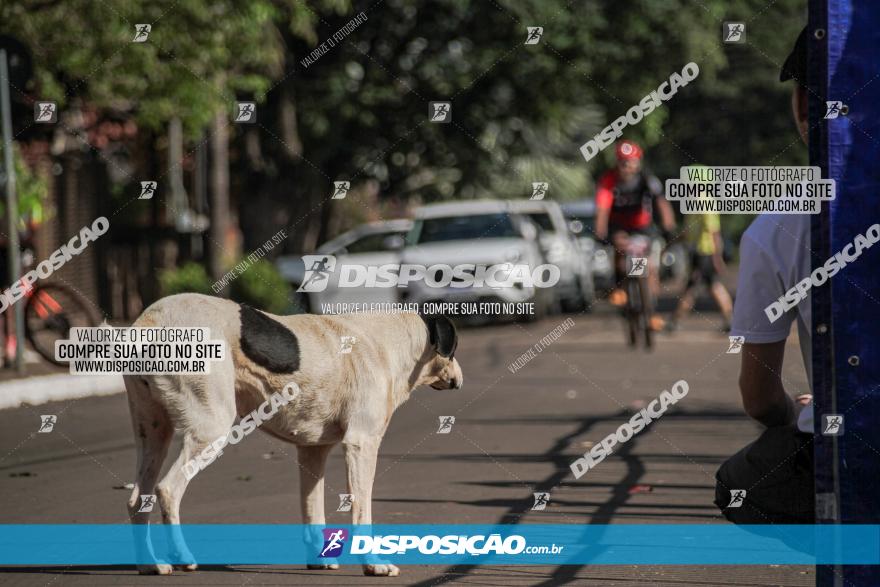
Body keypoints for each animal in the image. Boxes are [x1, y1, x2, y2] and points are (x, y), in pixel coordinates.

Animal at [128, 292, 468, 576]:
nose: (460, 381)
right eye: (454, 349)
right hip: (211, 429)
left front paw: (320, 560)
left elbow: (312, 510)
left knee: (137, 500)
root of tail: (149, 320)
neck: (392, 341)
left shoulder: (312, 452)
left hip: (154, 436)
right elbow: (361, 509)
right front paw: (373, 564)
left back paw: (150, 565)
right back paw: (182, 556)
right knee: (167, 489)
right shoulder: (362, 443)